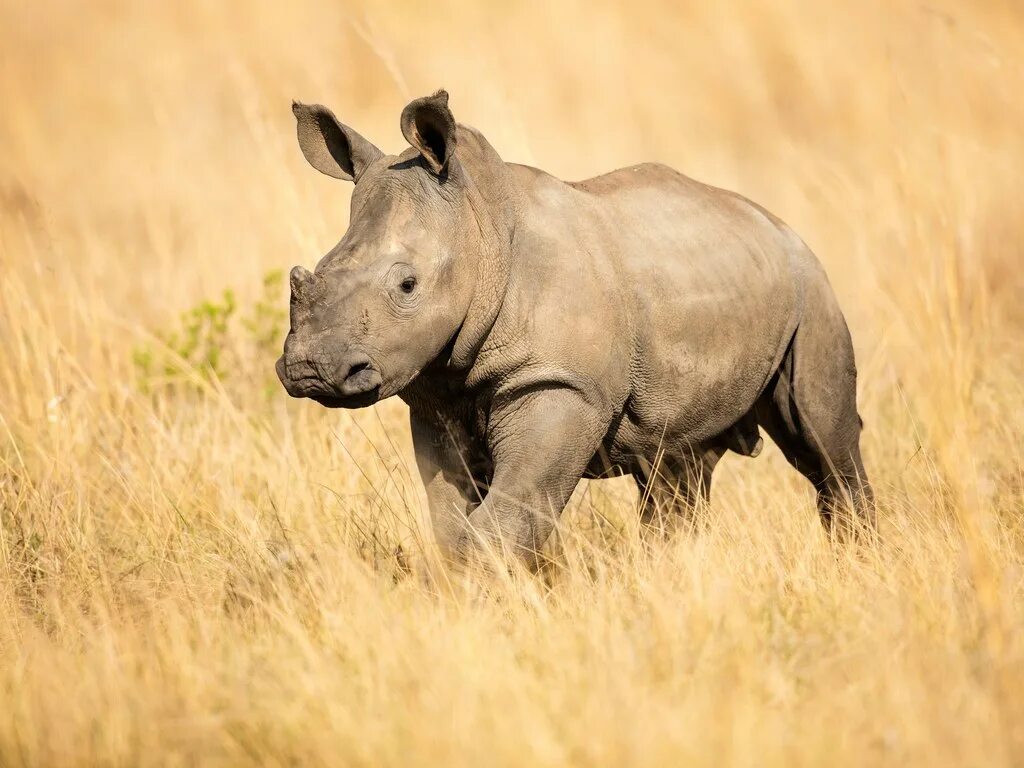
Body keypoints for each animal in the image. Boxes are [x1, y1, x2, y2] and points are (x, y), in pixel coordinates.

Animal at [277, 90, 874, 568]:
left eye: (407, 285)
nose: (310, 369)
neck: (480, 228)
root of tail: (776, 223)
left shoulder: (560, 382)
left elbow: (506, 517)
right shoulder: (436, 395)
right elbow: (452, 520)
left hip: (811, 288)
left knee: (821, 438)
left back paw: (858, 558)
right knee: (675, 467)